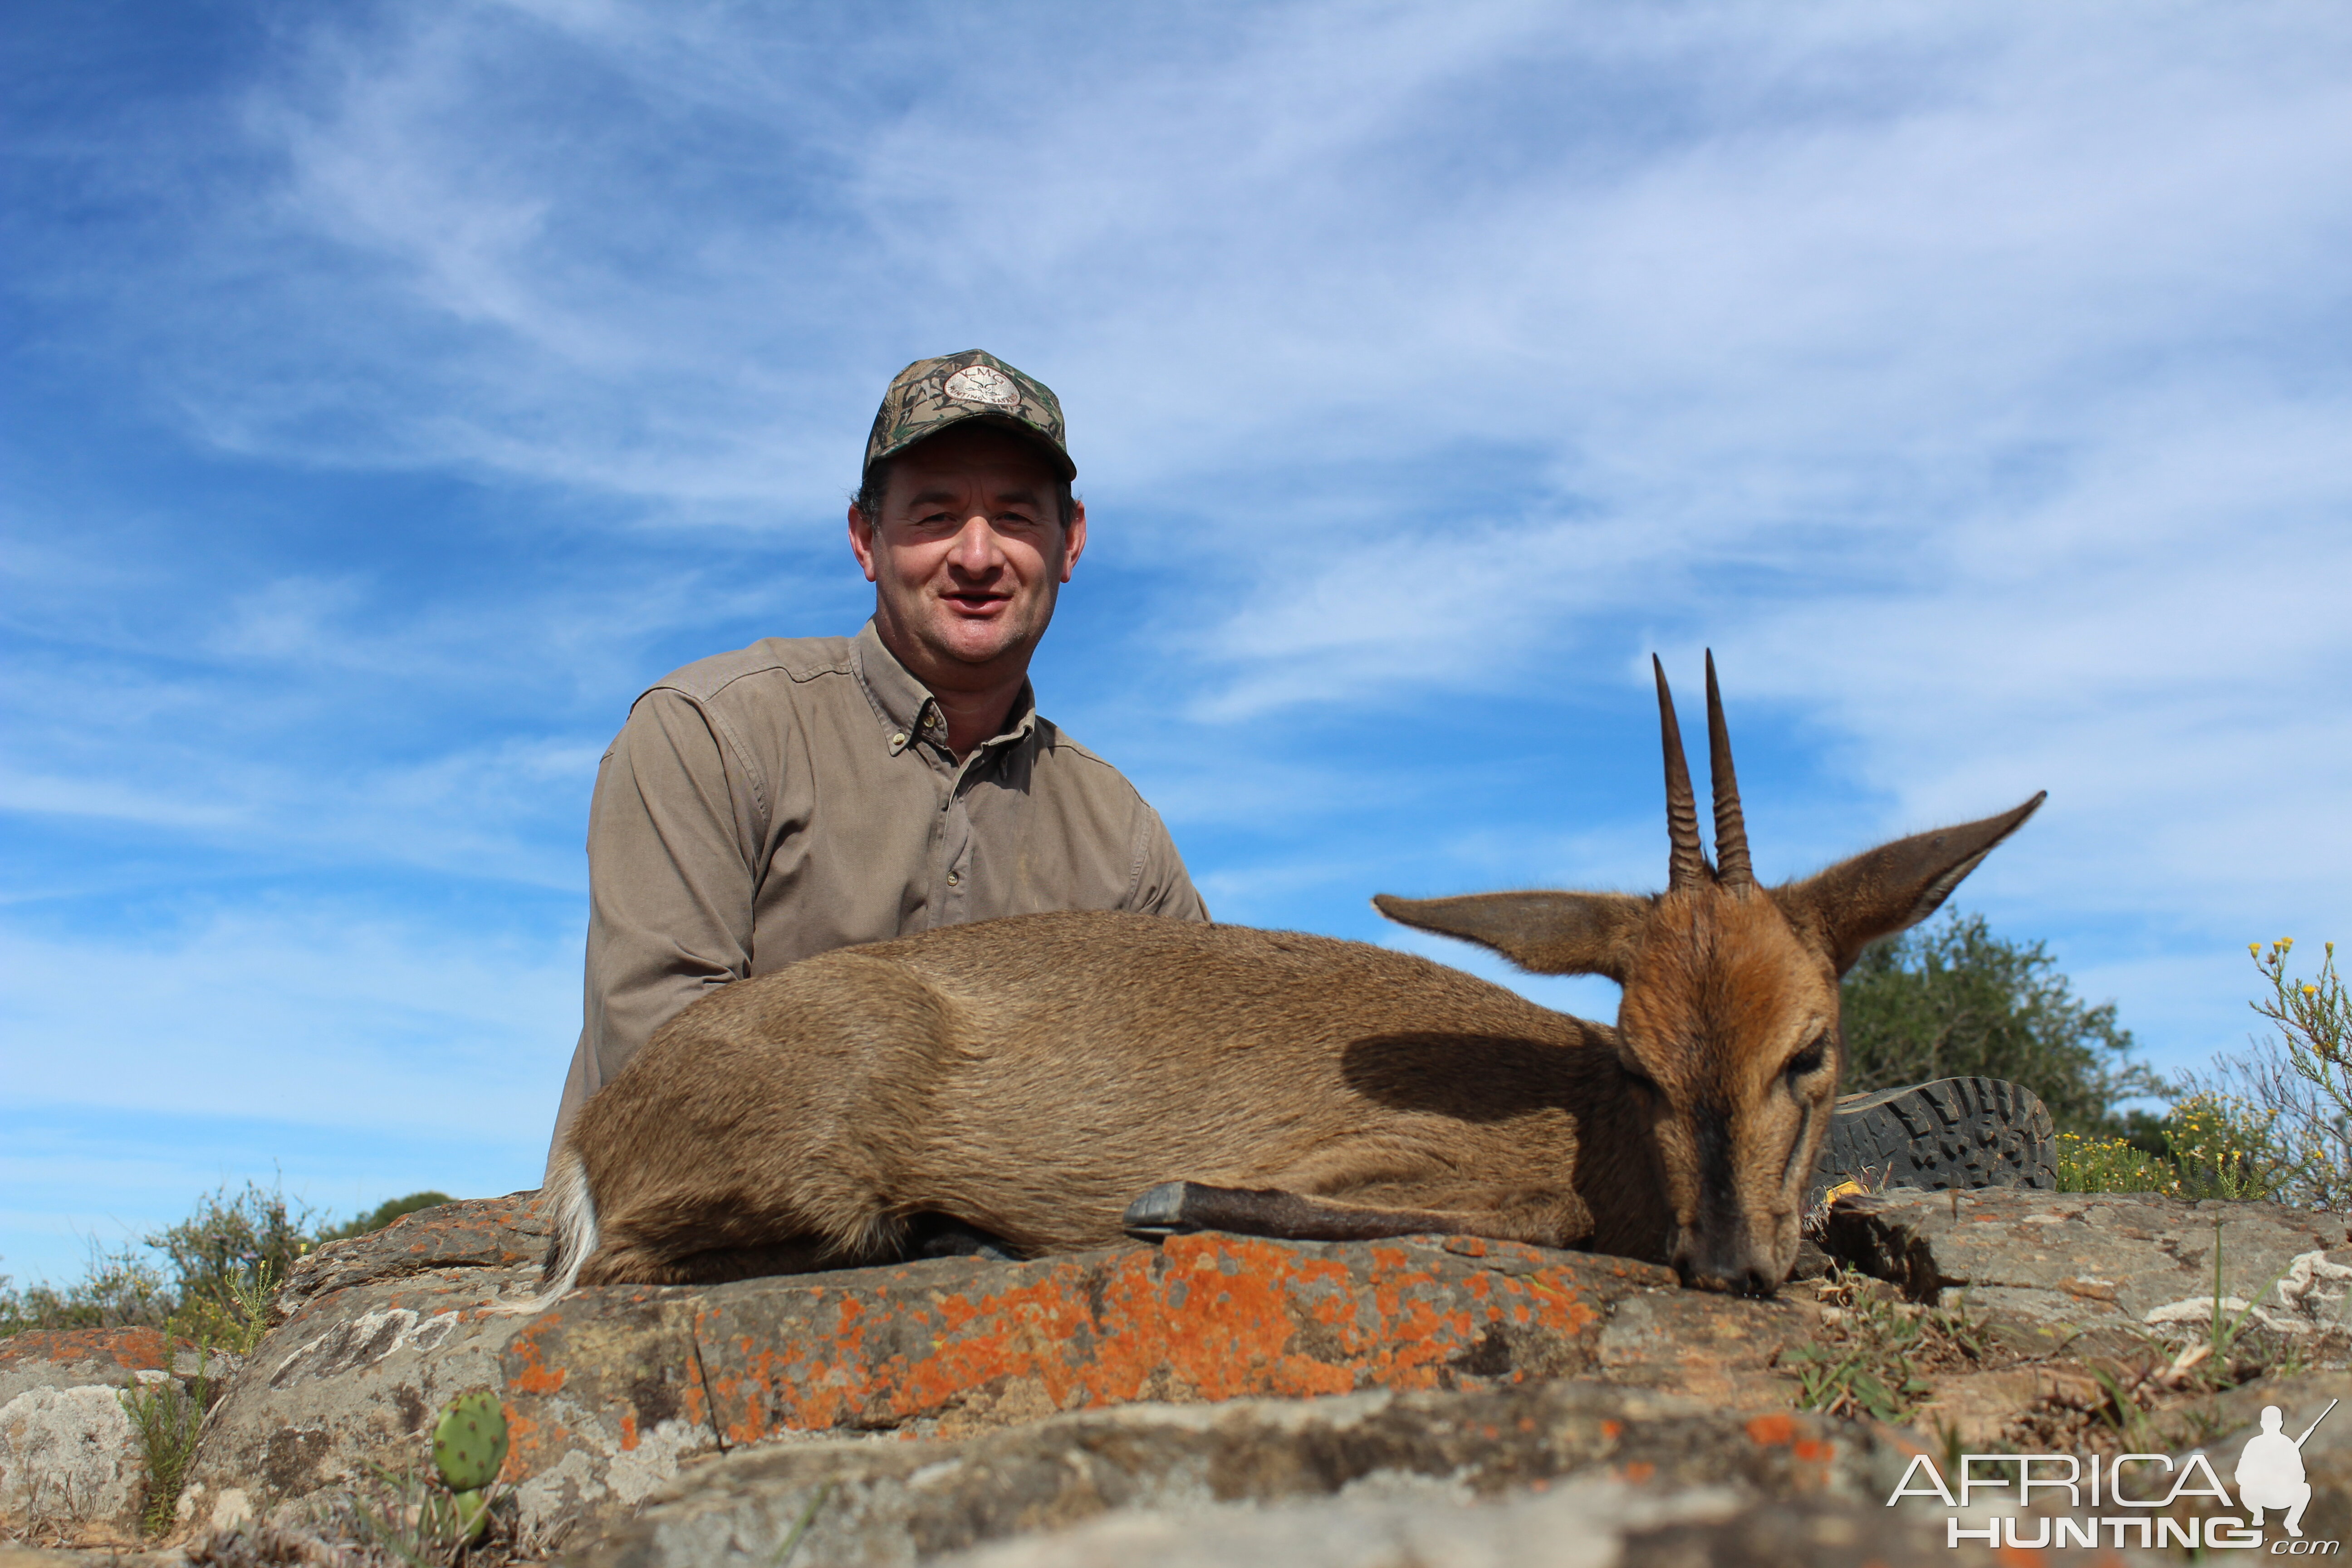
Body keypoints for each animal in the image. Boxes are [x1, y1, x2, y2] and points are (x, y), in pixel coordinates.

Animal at [515, 658, 2041, 1307]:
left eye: (1811, 1047)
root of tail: (597, 1138)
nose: (1729, 1264)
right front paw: (1164, 1205)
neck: (1588, 1127)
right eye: (1640, 1056)